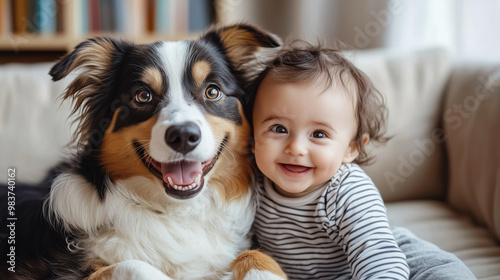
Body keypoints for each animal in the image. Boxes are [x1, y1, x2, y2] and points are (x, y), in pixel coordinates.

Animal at [0, 24, 288, 280]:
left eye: (213, 91)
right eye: (143, 96)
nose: (184, 136)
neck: (176, 212)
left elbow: (256, 253)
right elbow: (133, 264)